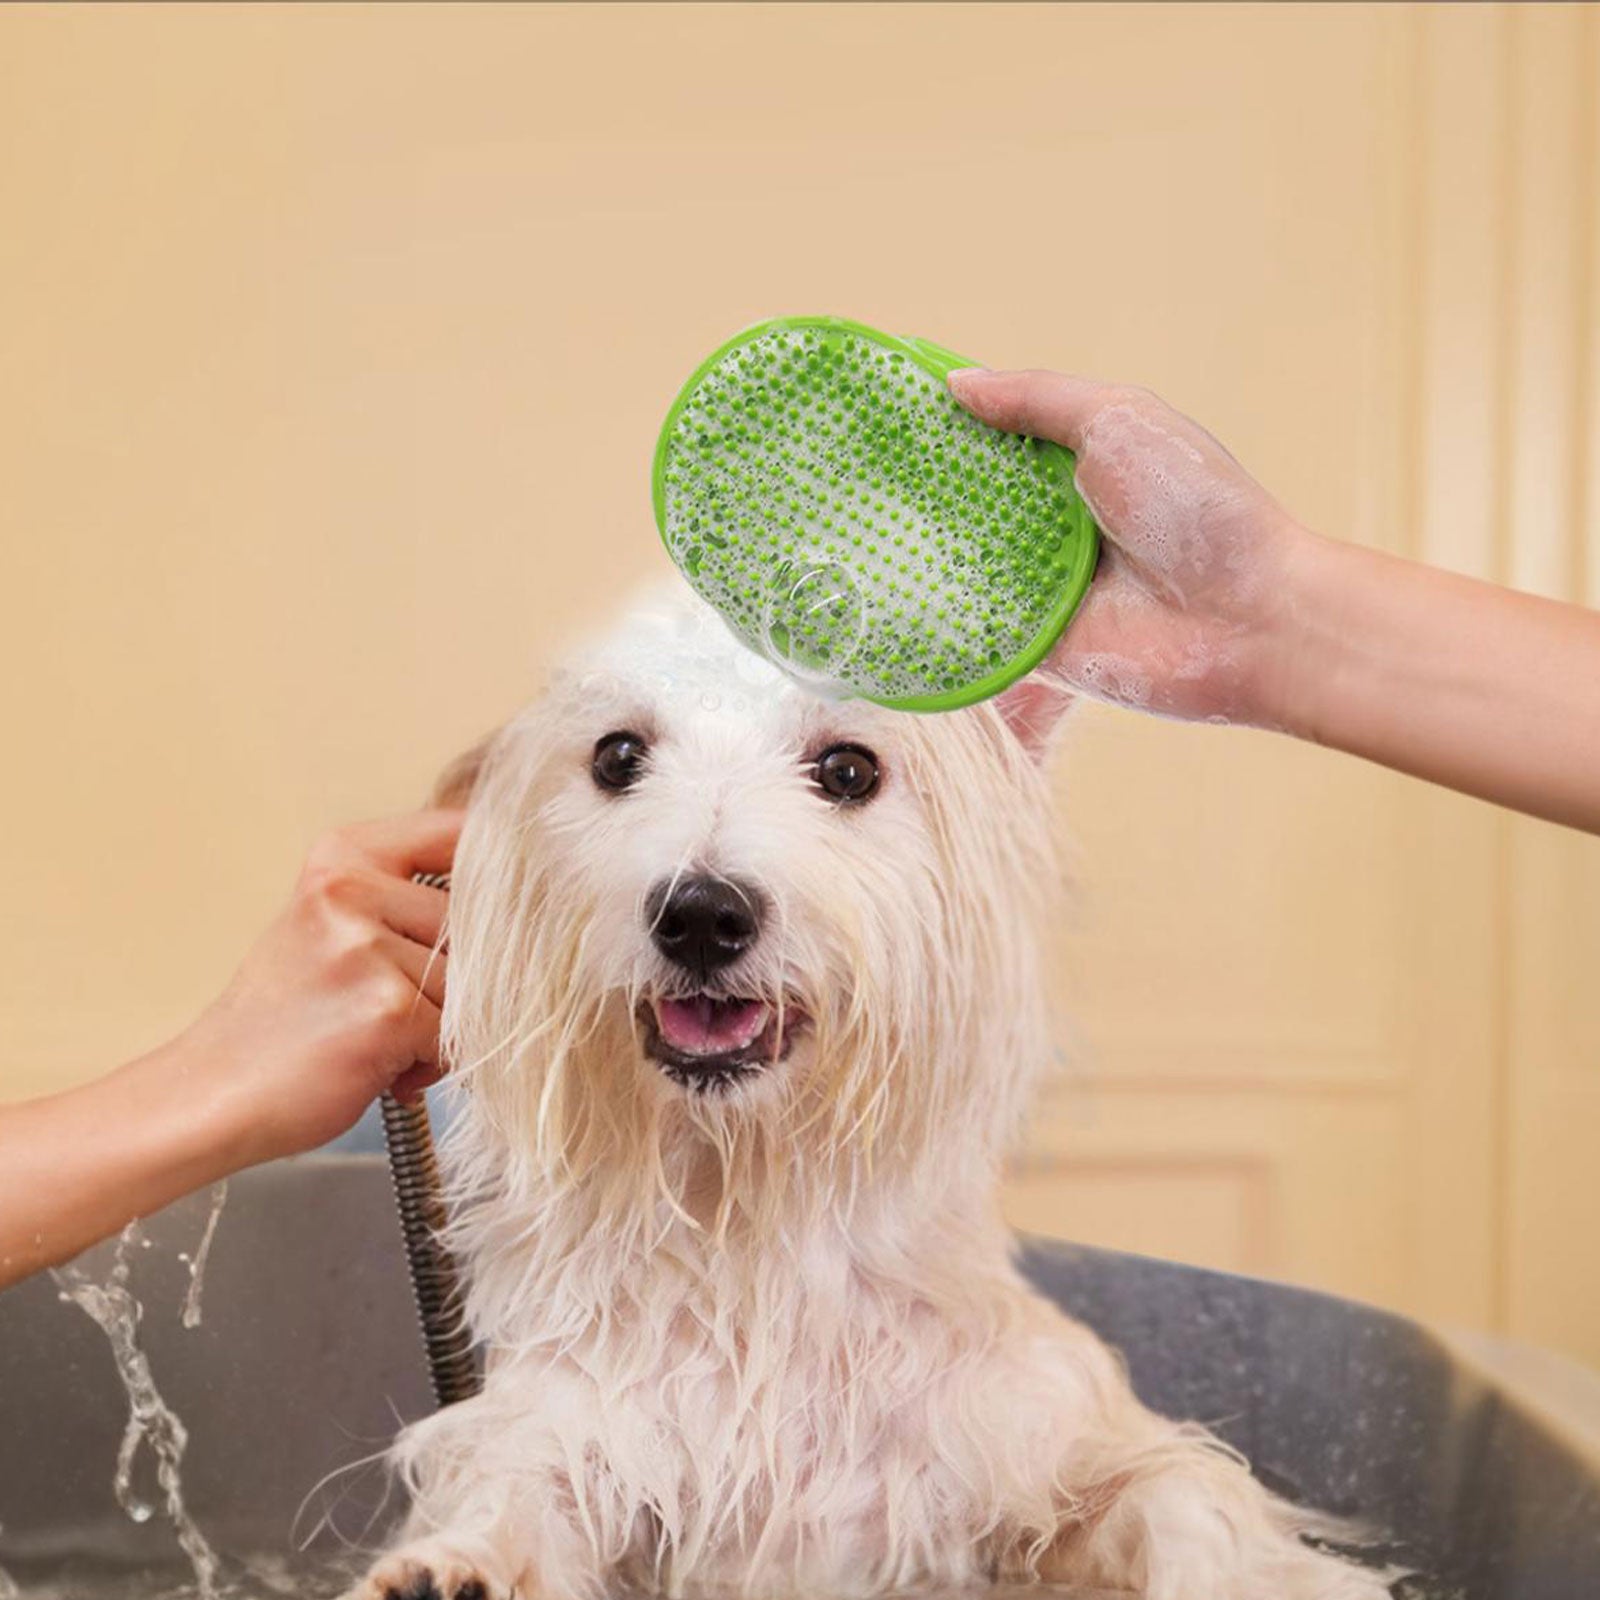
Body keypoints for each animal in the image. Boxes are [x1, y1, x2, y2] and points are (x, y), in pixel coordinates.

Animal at [353, 595, 1388, 1593]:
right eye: (617, 756)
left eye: (849, 770)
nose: (702, 914)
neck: (754, 1229)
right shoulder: (584, 1431)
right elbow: (521, 1493)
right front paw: (453, 1568)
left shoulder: (1039, 1441)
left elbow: (1182, 1498)